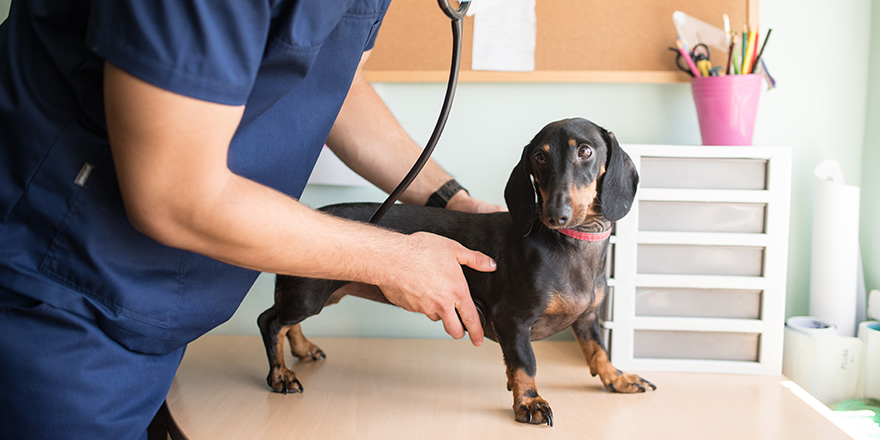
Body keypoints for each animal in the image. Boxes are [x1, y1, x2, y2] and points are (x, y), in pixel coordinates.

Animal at [258, 117, 656, 426]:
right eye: (540, 157)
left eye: (585, 151)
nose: (555, 214)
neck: (571, 245)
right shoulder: (513, 321)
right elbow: (527, 363)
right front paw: (529, 401)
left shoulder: (587, 318)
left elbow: (598, 350)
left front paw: (618, 379)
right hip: (309, 293)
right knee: (271, 321)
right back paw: (280, 375)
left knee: (288, 322)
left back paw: (303, 348)